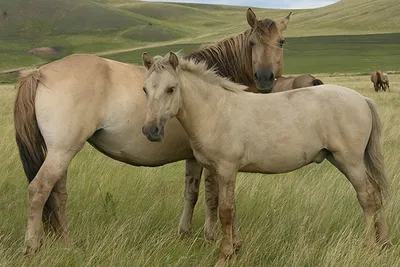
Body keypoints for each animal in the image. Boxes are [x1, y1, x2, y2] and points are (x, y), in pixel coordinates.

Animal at [142, 51, 390, 266]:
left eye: (171, 88)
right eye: (145, 89)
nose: (150, 130)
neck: (216, 110)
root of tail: (362, 99)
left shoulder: (226, 169)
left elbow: (225, 211)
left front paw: (225, 255)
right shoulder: (218, 171)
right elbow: (231, 207)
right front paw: (236, 247)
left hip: (350, 162)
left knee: (367, 197)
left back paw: (370, 246)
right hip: (340, 160)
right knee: (377, 193)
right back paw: (384, 242)